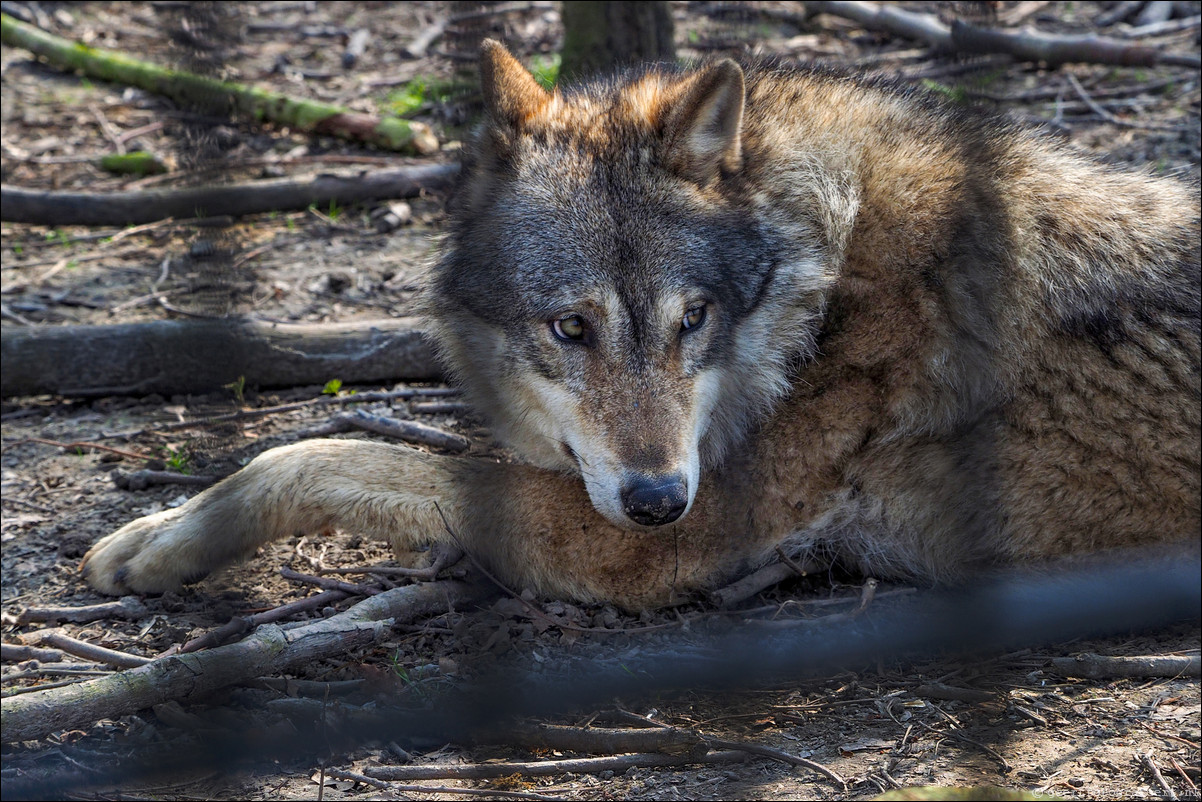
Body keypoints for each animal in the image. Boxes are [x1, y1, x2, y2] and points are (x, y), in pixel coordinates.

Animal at [79, 42, 1197, 608]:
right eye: (570, 329)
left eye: (691, 319)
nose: (658, 500)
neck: (822, 275)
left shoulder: (645, 546)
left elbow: (321, 455)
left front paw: (164, 540)